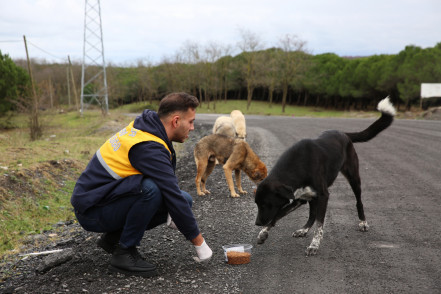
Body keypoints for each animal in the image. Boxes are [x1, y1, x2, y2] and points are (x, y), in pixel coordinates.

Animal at [254, 96, 396, 255]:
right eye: (257, 204)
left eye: (266, 204)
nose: (257, 223)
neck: (298, 165)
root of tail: (344, 133)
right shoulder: (298, 198)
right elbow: (278, 215)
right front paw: (263, 233)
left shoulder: (323, 195)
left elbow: (319, 224)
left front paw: (314, 245)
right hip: (310, 196)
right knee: (312, 214)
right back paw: (303, 230)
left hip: (353, 178)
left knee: (358, 201)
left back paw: (363, 222)